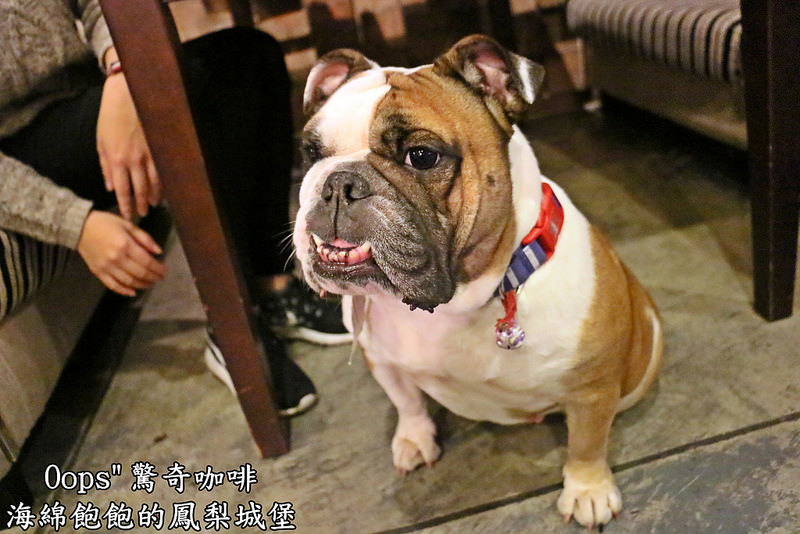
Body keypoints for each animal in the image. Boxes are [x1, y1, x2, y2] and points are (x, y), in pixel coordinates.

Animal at [292, 35, 662, 529]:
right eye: (311, 154)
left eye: (422, 156)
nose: (338, 183)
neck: (457, 304)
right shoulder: (381, 360)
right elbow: (406, 401)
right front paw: (414, 438)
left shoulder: (592, 390)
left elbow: (586, 443)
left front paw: (588, 490)